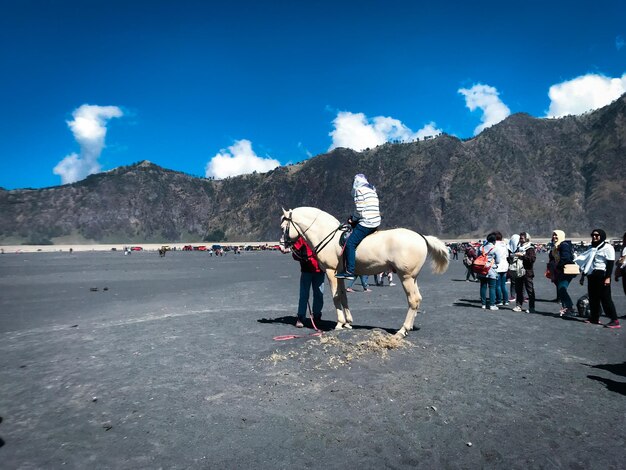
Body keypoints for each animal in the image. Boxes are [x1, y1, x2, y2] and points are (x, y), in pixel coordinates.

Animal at [280, 207, 448, 336]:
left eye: (283, 228)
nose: (282, 246)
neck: (327, 235)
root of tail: (421, 237)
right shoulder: (340, 274)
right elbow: (343, 296)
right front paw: (348, 323)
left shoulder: (330, 272)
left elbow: (335, 297)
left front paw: (339, 323)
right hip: (413, 277)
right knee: (418, 299)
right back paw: (409, 327)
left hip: (406, 277)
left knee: (413, 300)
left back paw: (402, 330)